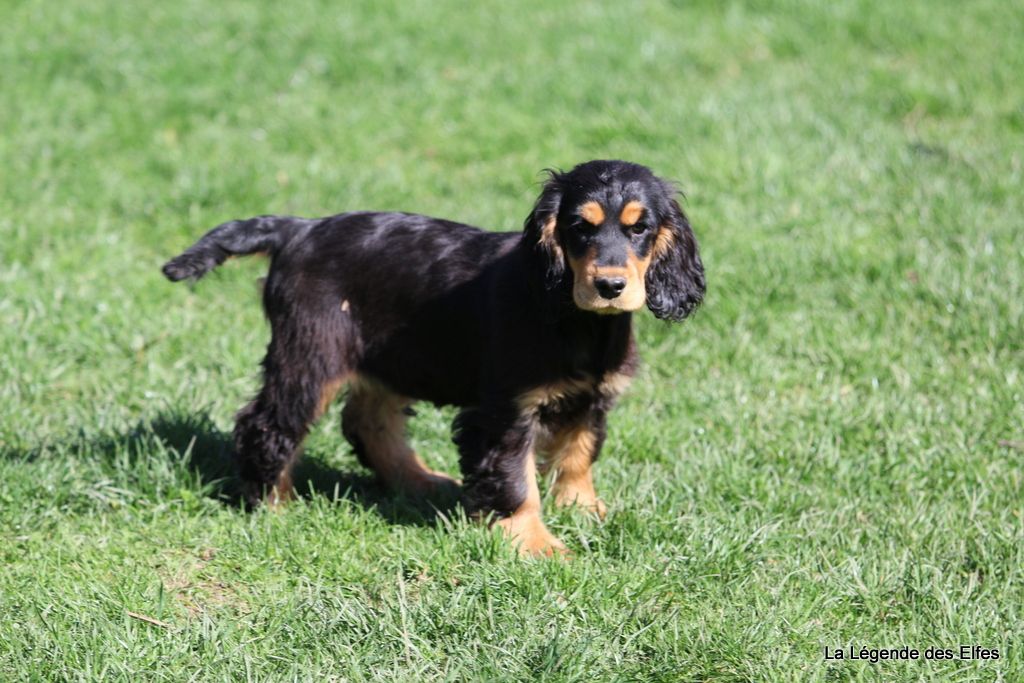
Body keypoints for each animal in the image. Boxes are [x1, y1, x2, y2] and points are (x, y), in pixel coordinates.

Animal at [161, 160, 704, 557]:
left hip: (387, 356)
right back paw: (273, 505)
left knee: (368, 421)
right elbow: (515, 478)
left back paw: (420, 482)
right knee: (268, 422)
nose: (609, 285)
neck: (577, 317)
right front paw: (536, 543)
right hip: (312, 354)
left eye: (641, 228)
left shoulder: (592, 397)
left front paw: (586, 511)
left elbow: (578, 455)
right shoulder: (504, 409)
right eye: (578, 227)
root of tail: (299, 230)